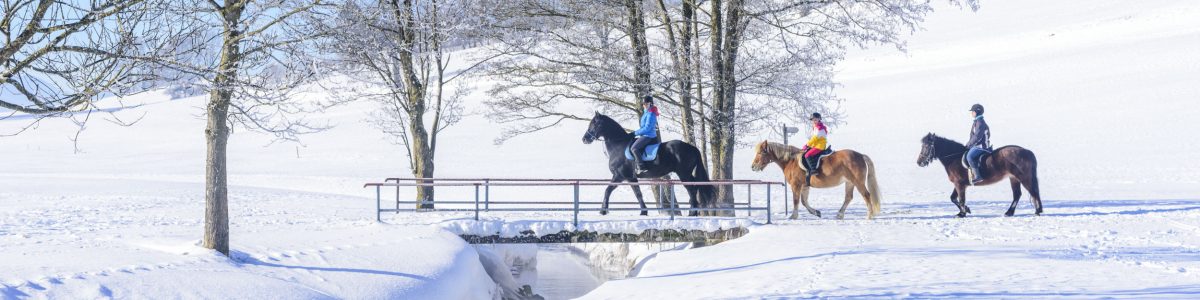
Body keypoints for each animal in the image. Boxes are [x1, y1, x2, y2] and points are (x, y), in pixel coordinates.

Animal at [580, 112, 710, 216]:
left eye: (594, 124)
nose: (584, 139)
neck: (618, 146)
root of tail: (692, 147)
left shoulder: (620, 176)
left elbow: (608, 190)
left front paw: (603, 211)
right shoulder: (630, 178)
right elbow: (638, 194)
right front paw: (643, 211)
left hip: (683, 174)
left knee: (691, 189)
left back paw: (692, 213)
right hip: (686, 174)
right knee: (695, 187)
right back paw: (693, 212)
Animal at [748, 140, 883, 220]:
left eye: (761, 152)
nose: (753, 167)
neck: (790, 161)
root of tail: (860, 155)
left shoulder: (796, 185)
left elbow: (796, 201)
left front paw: (793, 216)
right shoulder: (805, 186)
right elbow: (804, 201)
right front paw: (816, 212)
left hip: (857, 182)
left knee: (866, 195)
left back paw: (869, 215)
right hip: (849, 182)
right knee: (848, 197)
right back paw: (839, 214)